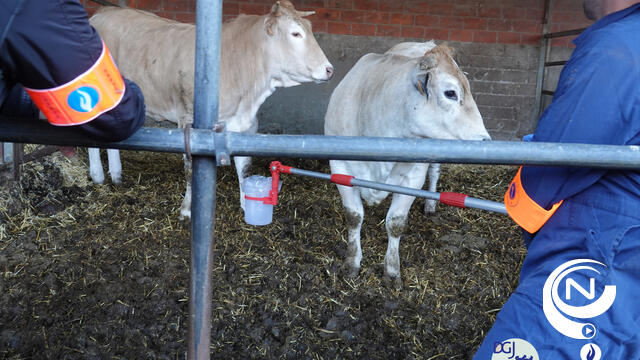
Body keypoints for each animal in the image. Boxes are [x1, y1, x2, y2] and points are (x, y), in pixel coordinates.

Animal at [89, 1, 336, 219]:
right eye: (296, 34)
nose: (329, 69)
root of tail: (102, 14)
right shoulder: (190, 123)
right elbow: (190, 169)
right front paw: (187, 210)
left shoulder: (247, 124)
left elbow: (244, 168)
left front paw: (247, 204)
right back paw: (98, 176)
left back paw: (116, 175)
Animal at [324, 41, 490, 290]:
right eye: (450, 92)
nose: (485, 140)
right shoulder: (340, 167)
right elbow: (354, 216)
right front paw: (351, 263)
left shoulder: (413, 176)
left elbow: (395, 222)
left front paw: (392, 272)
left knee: (434, 173)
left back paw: (430, 204)